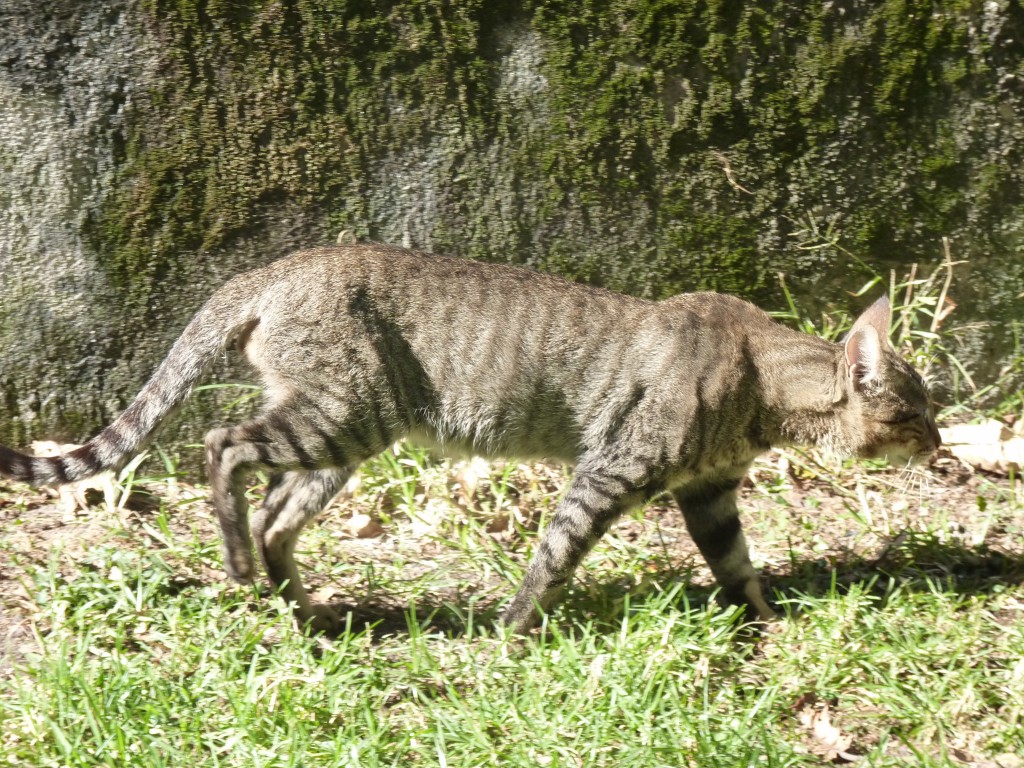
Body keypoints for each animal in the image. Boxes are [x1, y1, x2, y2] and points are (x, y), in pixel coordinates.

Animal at [0, 244, 937, 630]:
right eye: (916, 410)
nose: (941, 444)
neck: (760, 384)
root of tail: (274, 267)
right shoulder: (610, 472)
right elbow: (553, 559)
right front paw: (514, 632)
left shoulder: (708, 493)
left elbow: (738, 566)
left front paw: (768, 622)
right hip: (340, 417)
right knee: (222, 447)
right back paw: (240, 569)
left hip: (340, 439)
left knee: (274, 514)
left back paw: (304, 612)